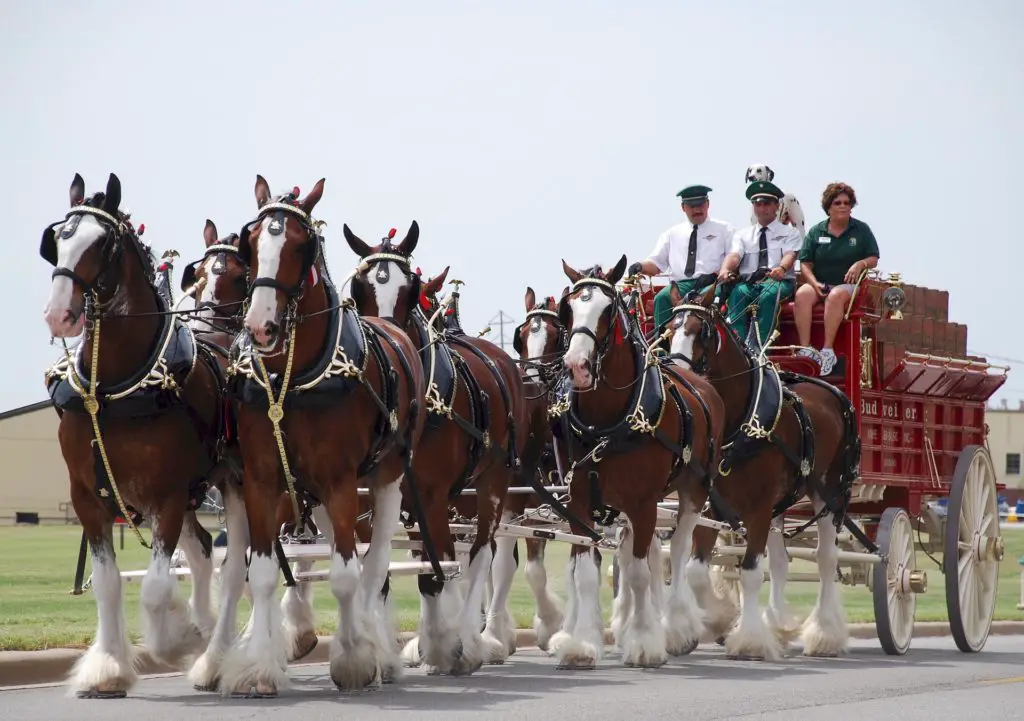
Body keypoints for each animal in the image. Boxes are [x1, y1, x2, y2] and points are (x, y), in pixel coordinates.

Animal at [39, 172, 228, 696]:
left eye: (102, 243)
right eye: (58, 239)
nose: (59, 314)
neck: (113, 389)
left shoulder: (166, 495)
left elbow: (158, 587)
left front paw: (177, 638)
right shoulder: (86, 496)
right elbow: (106, 584)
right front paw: (107, 666)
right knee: (203, 550)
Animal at [222, 176, 425, 696]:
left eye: (300, 245)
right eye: (252, 241)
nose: (261, 326)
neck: (293, 379)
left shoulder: (340, 481)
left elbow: (347, 577)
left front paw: (355, 659)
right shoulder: (264, 480)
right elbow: (264, 572)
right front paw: (258, 666)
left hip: (383, 482)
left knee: (374, 566)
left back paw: (377, 646)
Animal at [346, 224, 532, 671]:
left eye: (410, 290)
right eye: (360, 288)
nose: (388, 342)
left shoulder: (431, 494)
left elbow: (439, 569)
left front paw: (445, 644)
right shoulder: (383, 494)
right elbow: (390, 567)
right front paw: (400, 648)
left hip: (494, 483)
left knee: (482, 554)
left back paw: (472, 636)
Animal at [548, 256, 724, 667]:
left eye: (607, 310)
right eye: (569, 308)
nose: (576, 365)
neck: (606, 421)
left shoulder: (644, 503)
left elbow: (643, 573)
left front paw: (645, 642)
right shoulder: (580, 501)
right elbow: (586, 572)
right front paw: (583, 643)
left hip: (693, 492)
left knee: (678, 552)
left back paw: (675, 627)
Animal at [667, 282, 860, 659]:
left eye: (700, 331)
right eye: (669, 331)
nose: (682, 377)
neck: (740, 421)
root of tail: (833, 392)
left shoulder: (757, 509)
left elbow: (751, 573)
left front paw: (749, 640)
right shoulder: (712, 506)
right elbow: (697, 570)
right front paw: (720, 619)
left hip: (829, 493)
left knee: (826, 558)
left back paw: (825, 633)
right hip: (779, 505)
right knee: (782, 560)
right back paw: (779, 626)